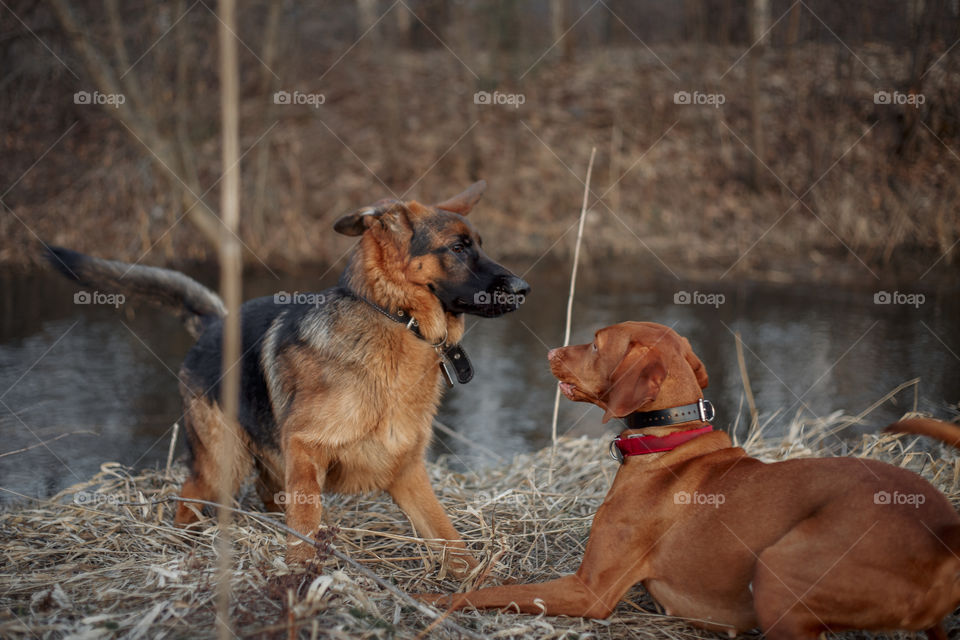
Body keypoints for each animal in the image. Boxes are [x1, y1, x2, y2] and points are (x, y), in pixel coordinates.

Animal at [45, 179, 528, 568]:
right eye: (459, 248)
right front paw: (299, 581)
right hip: (222, 464)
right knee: (188, 500)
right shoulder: (305, 451)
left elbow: (450, 539)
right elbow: (307, 526)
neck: (395, 318)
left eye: (479, 244)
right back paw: (188, 547)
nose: (524, 288)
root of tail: (216, 322)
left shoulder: (406, 472)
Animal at [418, 322, 960, 636]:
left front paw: (429, 600)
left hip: (778, 569)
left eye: (594, 343)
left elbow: (483, 593)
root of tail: (941, 531)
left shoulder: (588, 590)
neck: (667, 439)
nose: (551, 350)